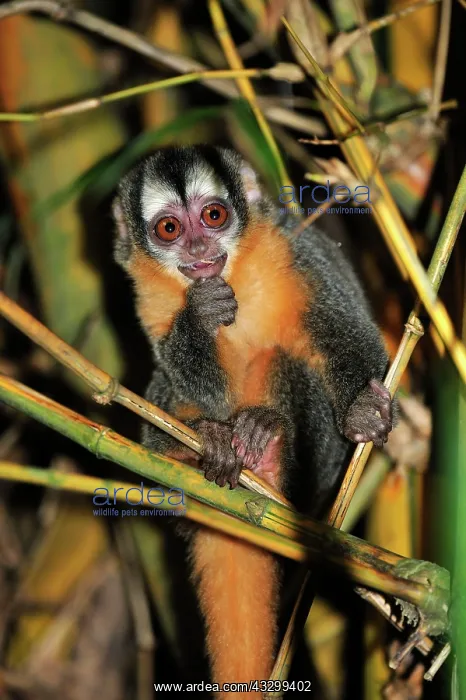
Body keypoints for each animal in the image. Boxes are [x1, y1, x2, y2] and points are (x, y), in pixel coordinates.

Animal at [112, 145, 393, 696]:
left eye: (214, 216)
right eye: (169, 229)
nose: (199, 247)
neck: (235, 272)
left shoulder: (298, 248)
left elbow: (343, 322)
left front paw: (363, 409)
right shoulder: (146, 298)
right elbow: (185, 381)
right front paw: (200, 317)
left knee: (284, 361)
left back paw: (262, 441)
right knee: (163, 394)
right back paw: (202, 449)